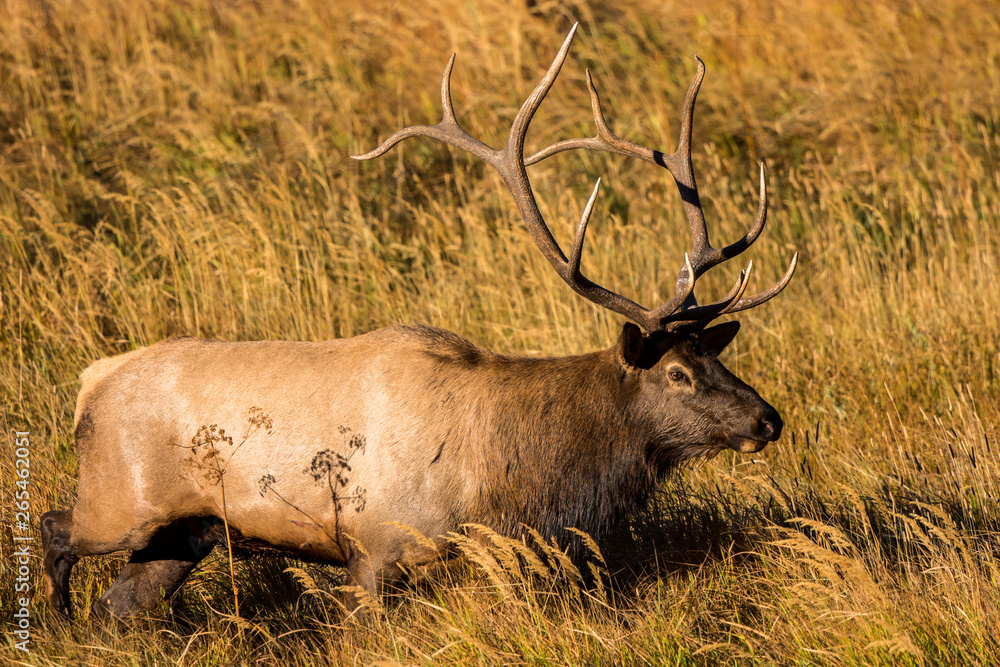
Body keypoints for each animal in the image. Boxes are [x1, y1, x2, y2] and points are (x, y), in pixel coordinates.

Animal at [41, 24, 796, 620]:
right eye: (677, 373)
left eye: (717, 355)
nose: (768, 419)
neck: (507, 477)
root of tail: (88, 383)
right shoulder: (374, 549)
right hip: (117, 501)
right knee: (53, 528)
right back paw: (55, 620)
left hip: (181, 535)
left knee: (117, 606)